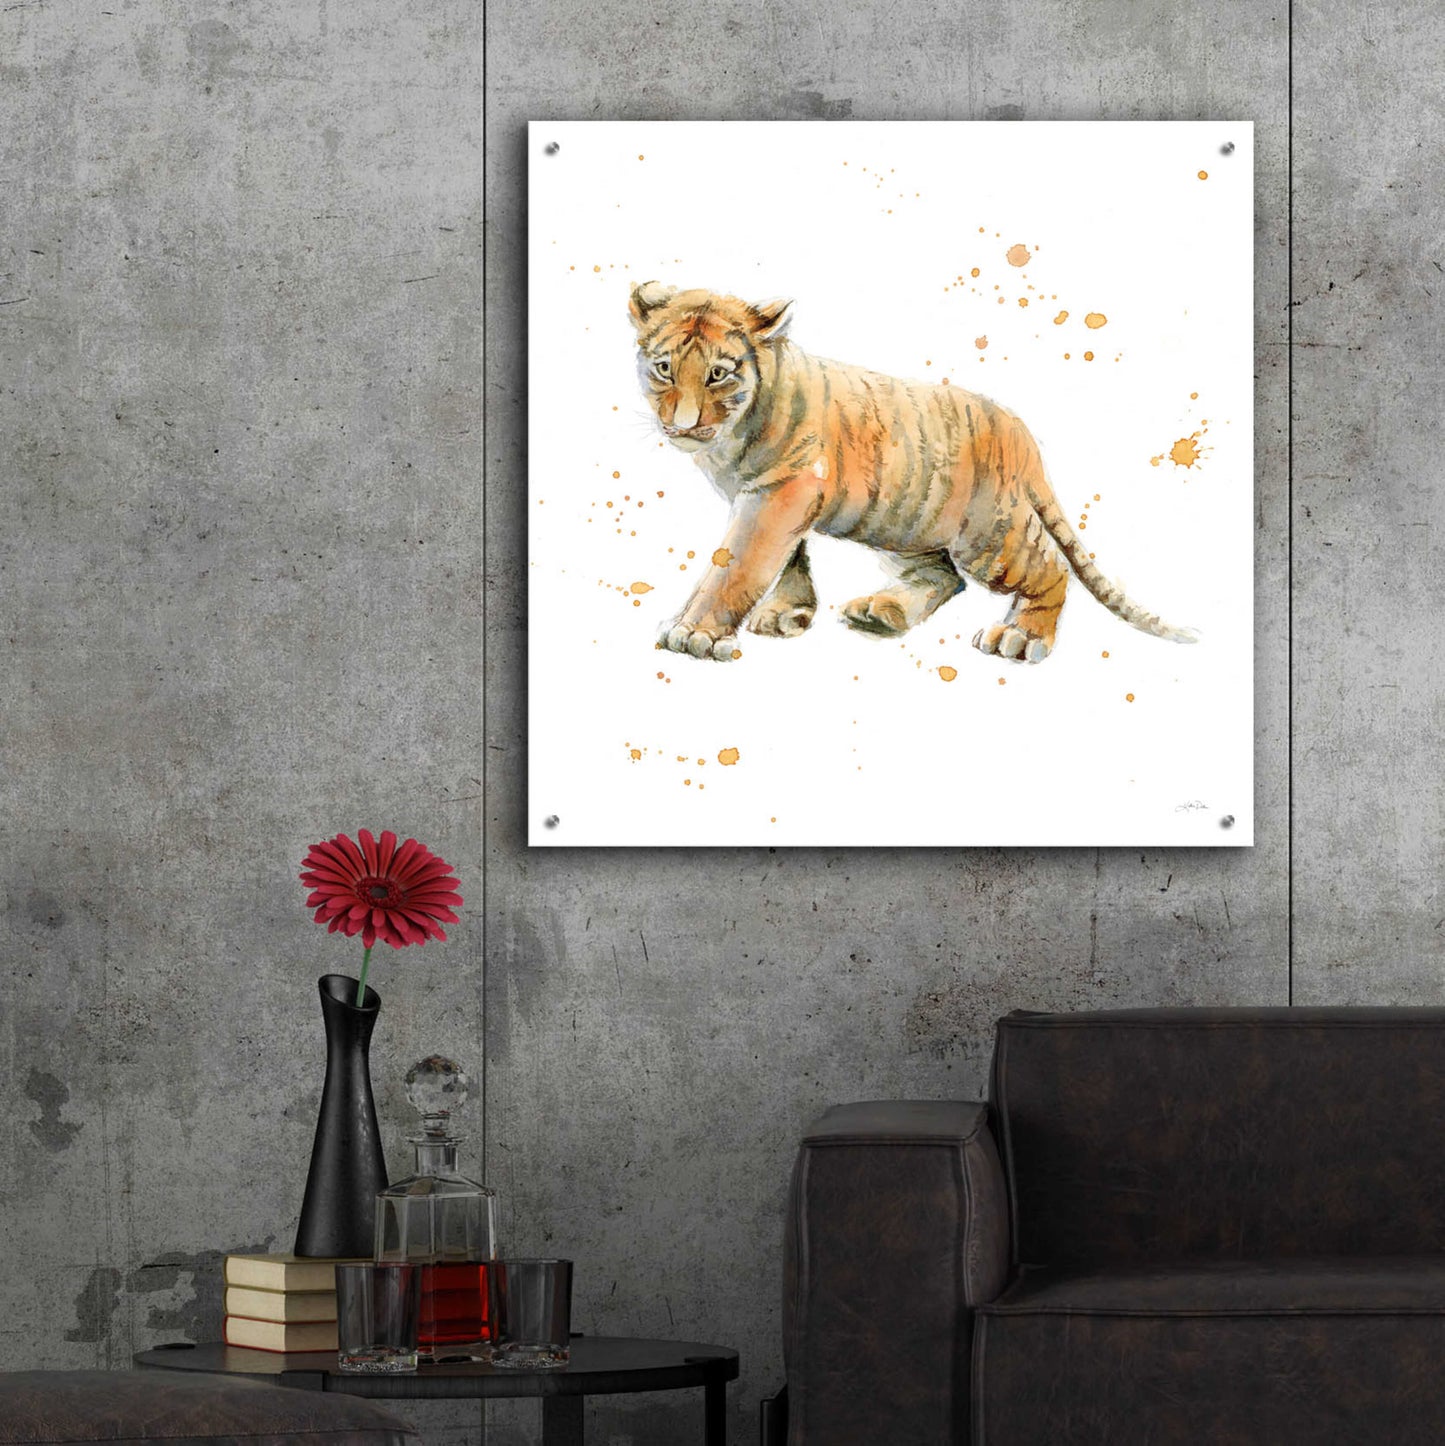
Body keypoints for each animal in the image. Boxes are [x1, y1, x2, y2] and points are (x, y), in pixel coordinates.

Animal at [628, 281, 1197, 664]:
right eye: (664, 368)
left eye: (718, 374)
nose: (681, 424)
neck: (729, 438)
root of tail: (1016, 428)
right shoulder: (776, 495)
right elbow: (787, 558)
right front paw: (789, 612)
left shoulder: (780, 491)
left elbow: (739, 563)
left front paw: (694, 632)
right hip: (908, 524)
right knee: (943, 575)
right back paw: (881, 613)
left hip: (989, 535)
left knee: (1049, 568)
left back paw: (1021, 638)